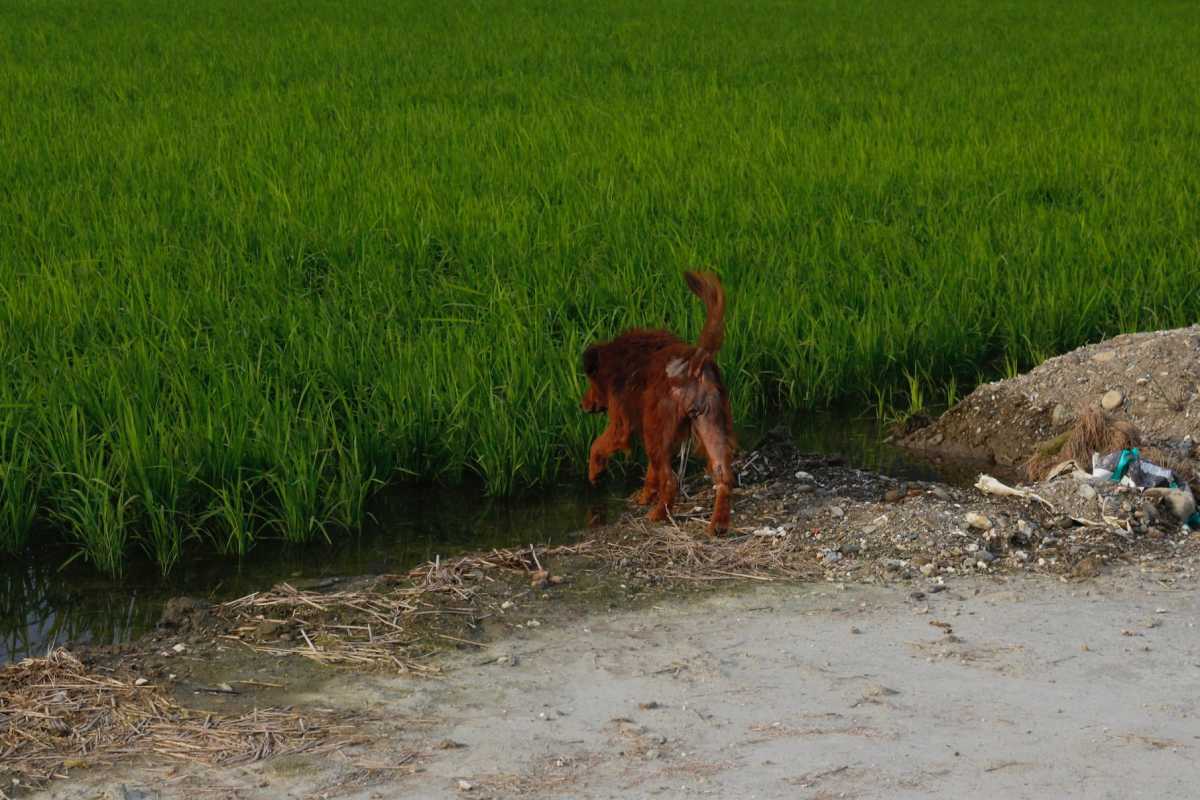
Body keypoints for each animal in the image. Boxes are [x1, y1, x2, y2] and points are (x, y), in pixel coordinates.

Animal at [578, 272, 734, 534]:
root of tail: (694, 362)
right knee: (722, 475)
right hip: (710, 423)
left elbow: (597, 445)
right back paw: (718, 524)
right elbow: (651, 473)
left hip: (658, 431)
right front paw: (645, 495)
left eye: (590, 381)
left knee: (670, 481)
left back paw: (658, 514)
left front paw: (595, 472)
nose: (583, 404)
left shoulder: (623, 423)